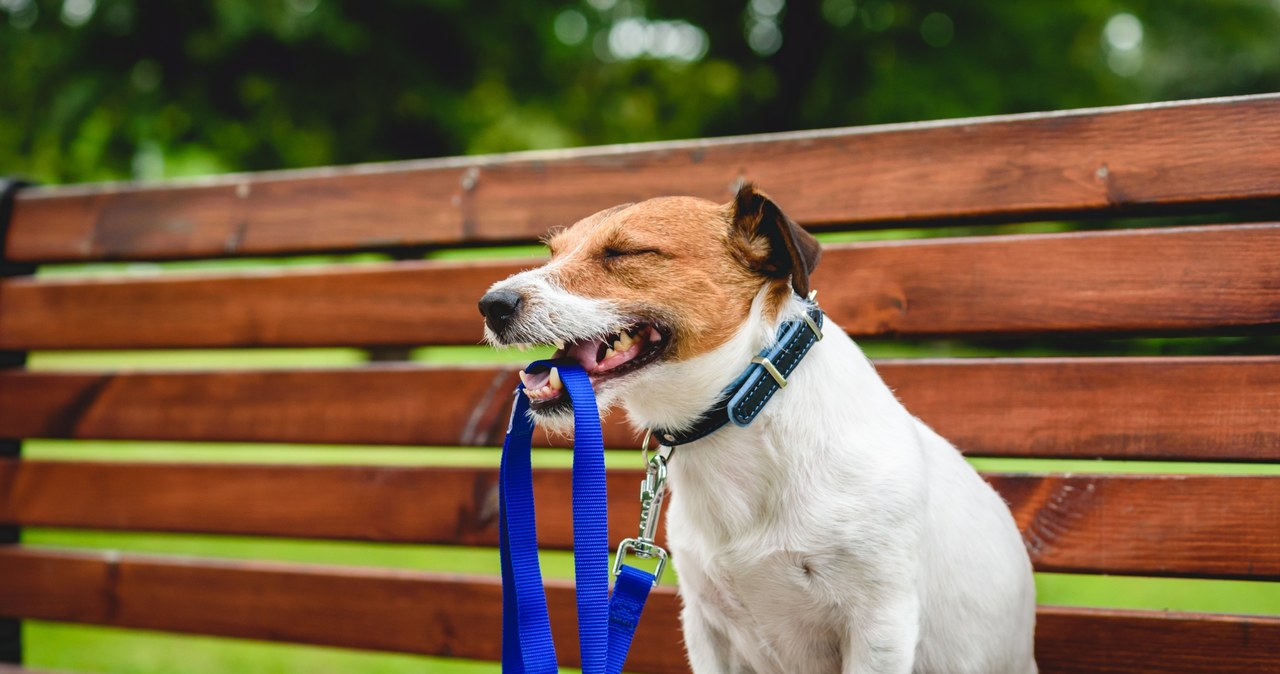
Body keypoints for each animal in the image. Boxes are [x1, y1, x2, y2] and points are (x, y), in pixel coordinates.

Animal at [481, 185, 1039, 674]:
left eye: (627, 252)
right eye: (553, 252)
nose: (491, 305)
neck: (745, 416)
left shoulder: (881, 625)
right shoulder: (707, 628)